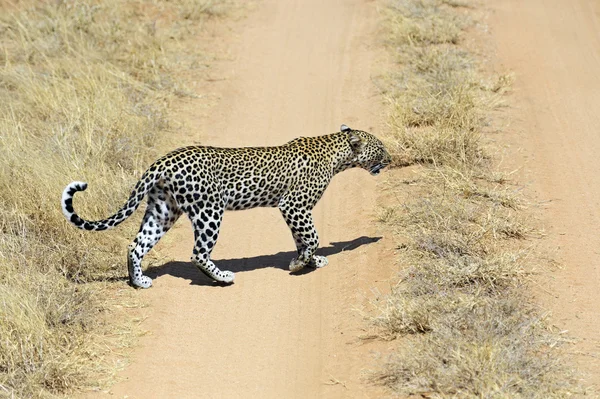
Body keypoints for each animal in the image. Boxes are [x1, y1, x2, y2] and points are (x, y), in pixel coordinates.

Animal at [63, 124, 392, 288]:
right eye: (381, 148)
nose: (391, 159)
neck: (336, 153)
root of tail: (162, 161)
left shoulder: (294, 210)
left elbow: (302, 238)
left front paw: (309, 260)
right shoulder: (294, 205)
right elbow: (311, 236)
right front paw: (300, 264)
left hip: (163, 210)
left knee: (136, 244)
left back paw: (139, 281)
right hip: (209, 211)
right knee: (198, 253)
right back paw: (222, 277)